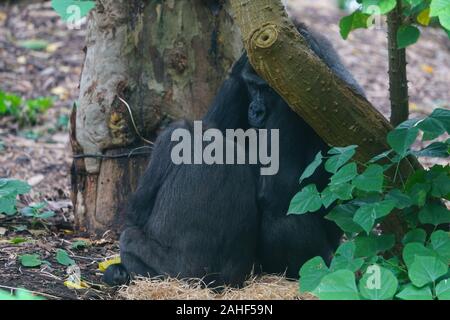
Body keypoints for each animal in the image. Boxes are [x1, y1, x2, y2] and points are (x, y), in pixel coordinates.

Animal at [104, 22, 366, 288]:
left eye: (267, 89)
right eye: (252, 86)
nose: (256, 110)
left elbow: (281, 189)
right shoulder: (237, 79)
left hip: (328, 256)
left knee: (282, 215)